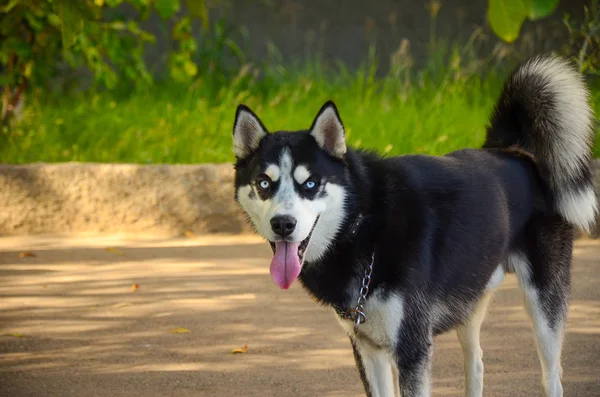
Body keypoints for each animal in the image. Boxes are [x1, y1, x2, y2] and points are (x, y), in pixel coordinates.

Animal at [230, 56, 596, 396]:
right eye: (264, 183)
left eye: (310, 184)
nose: (283, 224)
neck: (365, 225)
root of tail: (512, 152)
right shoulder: (368, 349)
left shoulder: (412, 349)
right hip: (470, 300)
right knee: (476, 362)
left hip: (543, 307)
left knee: (551, 376)